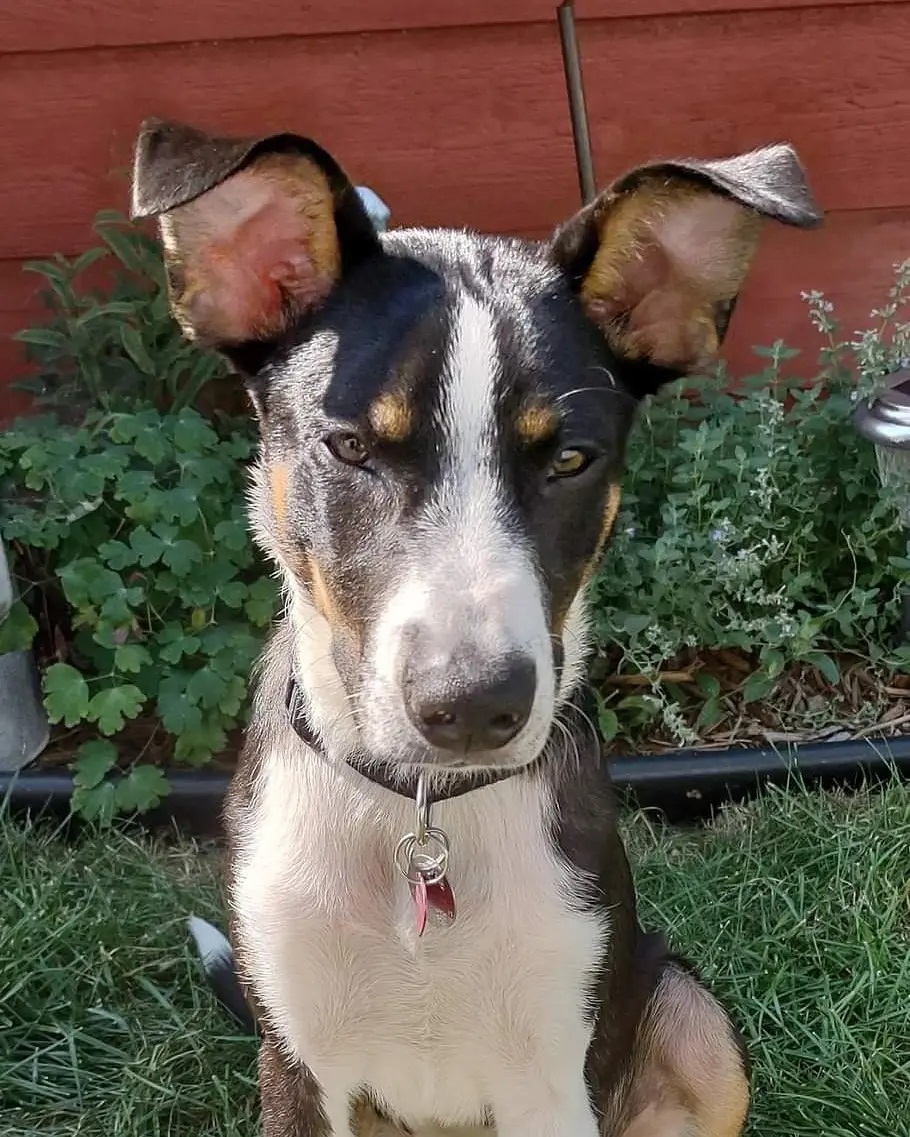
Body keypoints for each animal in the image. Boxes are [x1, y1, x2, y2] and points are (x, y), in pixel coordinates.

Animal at [131, 117, 819, 1137]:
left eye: (571, 460)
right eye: (348, 447)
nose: (471, 707)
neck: (419, 815)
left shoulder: (552, 1065)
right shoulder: (295, 1060)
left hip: (693, 1014)